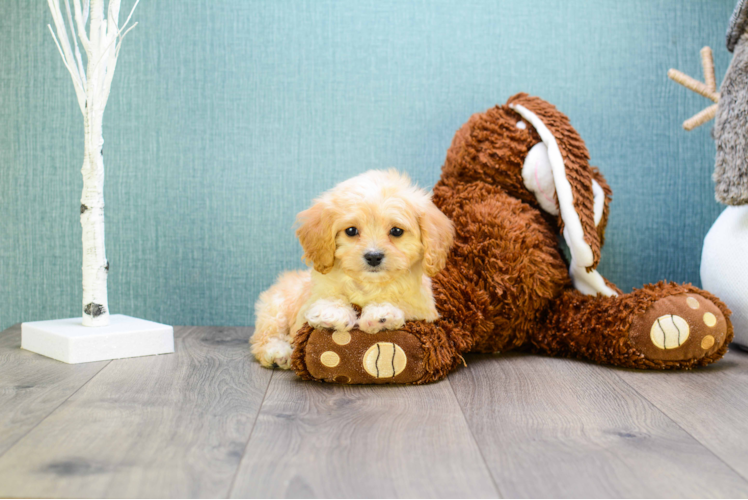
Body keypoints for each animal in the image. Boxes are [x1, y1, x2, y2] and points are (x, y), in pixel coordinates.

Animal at [251, 170, 452, 370]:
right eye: (351, 231)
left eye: (396, 231)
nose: (373, 256)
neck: (369, 284)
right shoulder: (309, 303)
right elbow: (329, 298)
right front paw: (333, 312)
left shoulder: (425, 312)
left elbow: (405, 306)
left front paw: (381, 314)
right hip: (275, 308)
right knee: (264, 336)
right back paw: (278, 352)